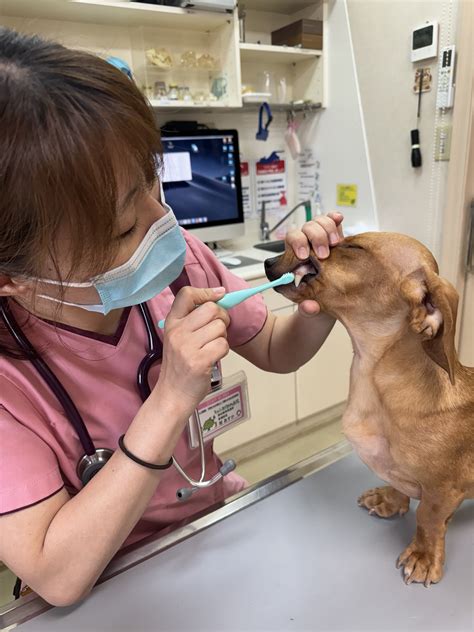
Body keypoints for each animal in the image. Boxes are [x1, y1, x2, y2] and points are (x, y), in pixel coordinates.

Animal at [266, 233, 474, 588]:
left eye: (353, 247)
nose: (267, 262)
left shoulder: (444, 490)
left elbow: (428, 518)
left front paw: (423, 556)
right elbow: (399, 486)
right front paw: (390, 500)